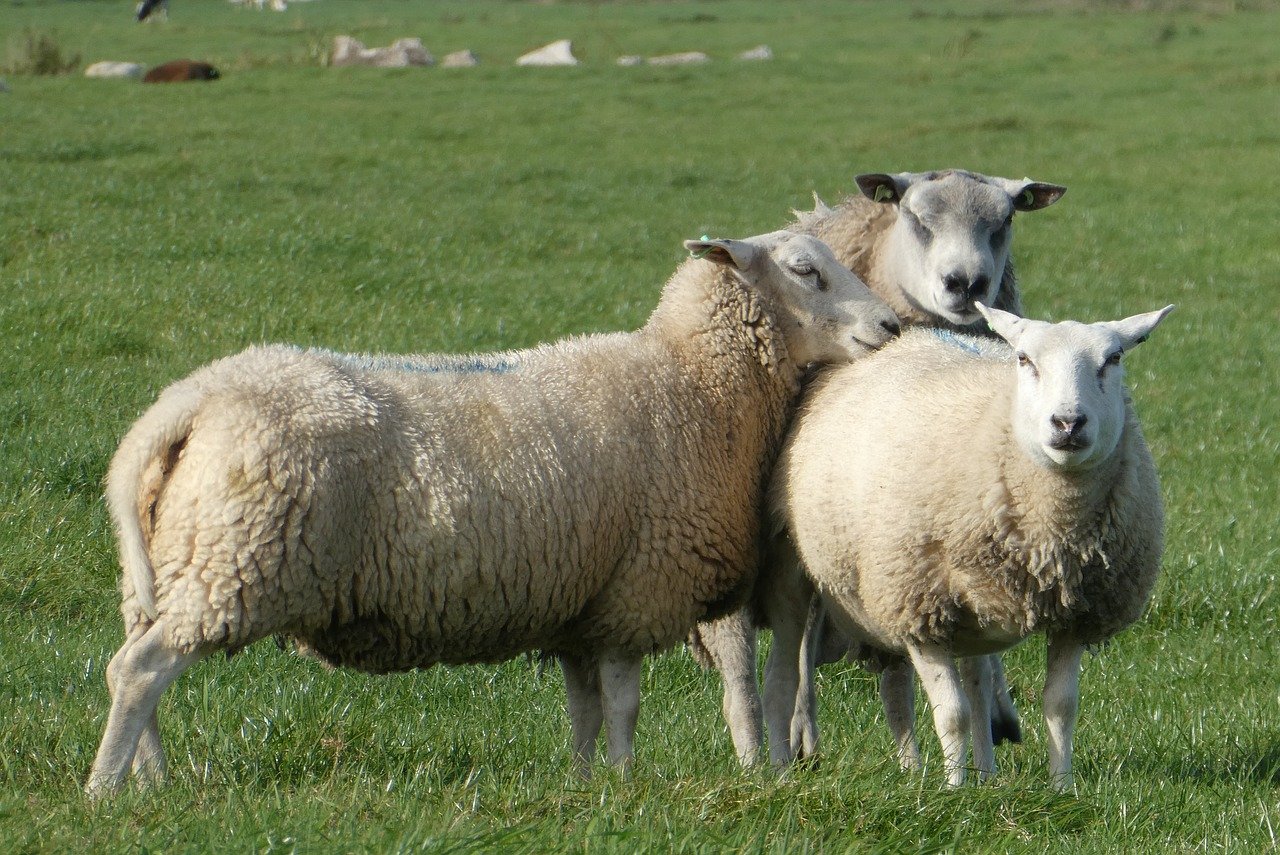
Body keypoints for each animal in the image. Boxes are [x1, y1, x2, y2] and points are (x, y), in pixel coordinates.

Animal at [85, 226, 901, 793]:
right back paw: (104, 790)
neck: (691, 381)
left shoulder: (584, 605)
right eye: (805, 270)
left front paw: (585, 785)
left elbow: (584, 706)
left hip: (172, 568)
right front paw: (627, 782)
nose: (891, 327)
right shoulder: (636, 590)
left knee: (138, 668)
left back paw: (152, 781)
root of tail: (188, 402)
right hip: (238, 562)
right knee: (140, 670)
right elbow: (625, 704)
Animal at [691, 170, 1070, 762]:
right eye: (916, 217)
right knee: (750, 676)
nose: (967, 283)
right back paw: (765, 753)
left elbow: (945, 667)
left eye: (1006, 218)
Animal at [762, 302, 1172, 788]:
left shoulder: (1077, 613)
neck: (1054, 533)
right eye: (1024, 360)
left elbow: (1060, 708)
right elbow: (951, 712)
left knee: (953, 683)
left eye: (1113, 359)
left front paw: (1062, 788)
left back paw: (967, 772)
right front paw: (952, 790)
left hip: (964, 603)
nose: (1068, 423)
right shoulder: (918, 606)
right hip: (818, 573)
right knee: (813, 674)